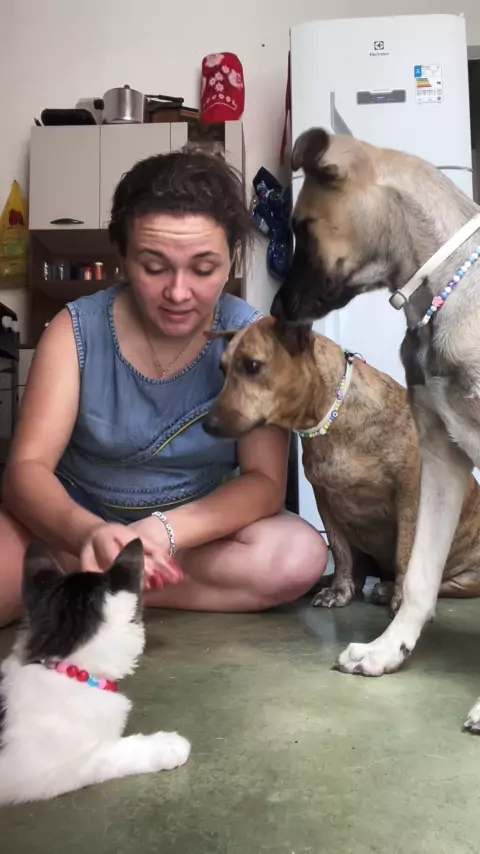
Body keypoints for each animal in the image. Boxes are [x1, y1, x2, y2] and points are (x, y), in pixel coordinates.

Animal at [204, 316, 480, 614]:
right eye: (221, 368)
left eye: (252, 366)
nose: (207, 425)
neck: (333, 416)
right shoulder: (325, 499)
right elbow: (339, 550)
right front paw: (339, 590)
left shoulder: (409, 494)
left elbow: (405, 550)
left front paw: (400, 599)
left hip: (466, 577)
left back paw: (389, 589)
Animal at [270, 127, 480, 731]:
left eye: (301, 227)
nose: (276, 308)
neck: (445, 289)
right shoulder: (441, 460)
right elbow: (417, 575)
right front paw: (389, 650)